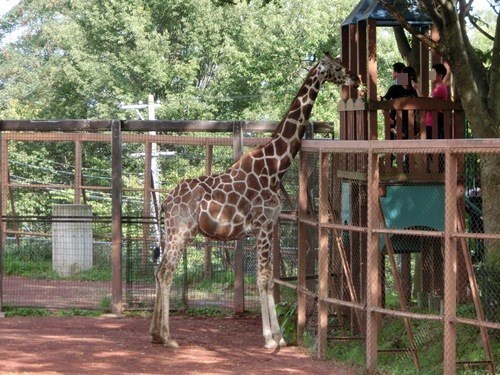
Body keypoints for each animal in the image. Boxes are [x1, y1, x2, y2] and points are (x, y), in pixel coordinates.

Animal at [150, 53, 358, 350]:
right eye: (338, 67)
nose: (357, 78)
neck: (275, 166)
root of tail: (166, 202)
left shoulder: (269, 225)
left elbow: (269, 277)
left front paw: (279, 337)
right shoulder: (262, 224)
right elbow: (263, 279)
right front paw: (271, 338)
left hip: (171, 232)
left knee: (158, 272)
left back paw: (155, 333)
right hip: (181, 231)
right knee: (166, 272)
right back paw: (168, 337)